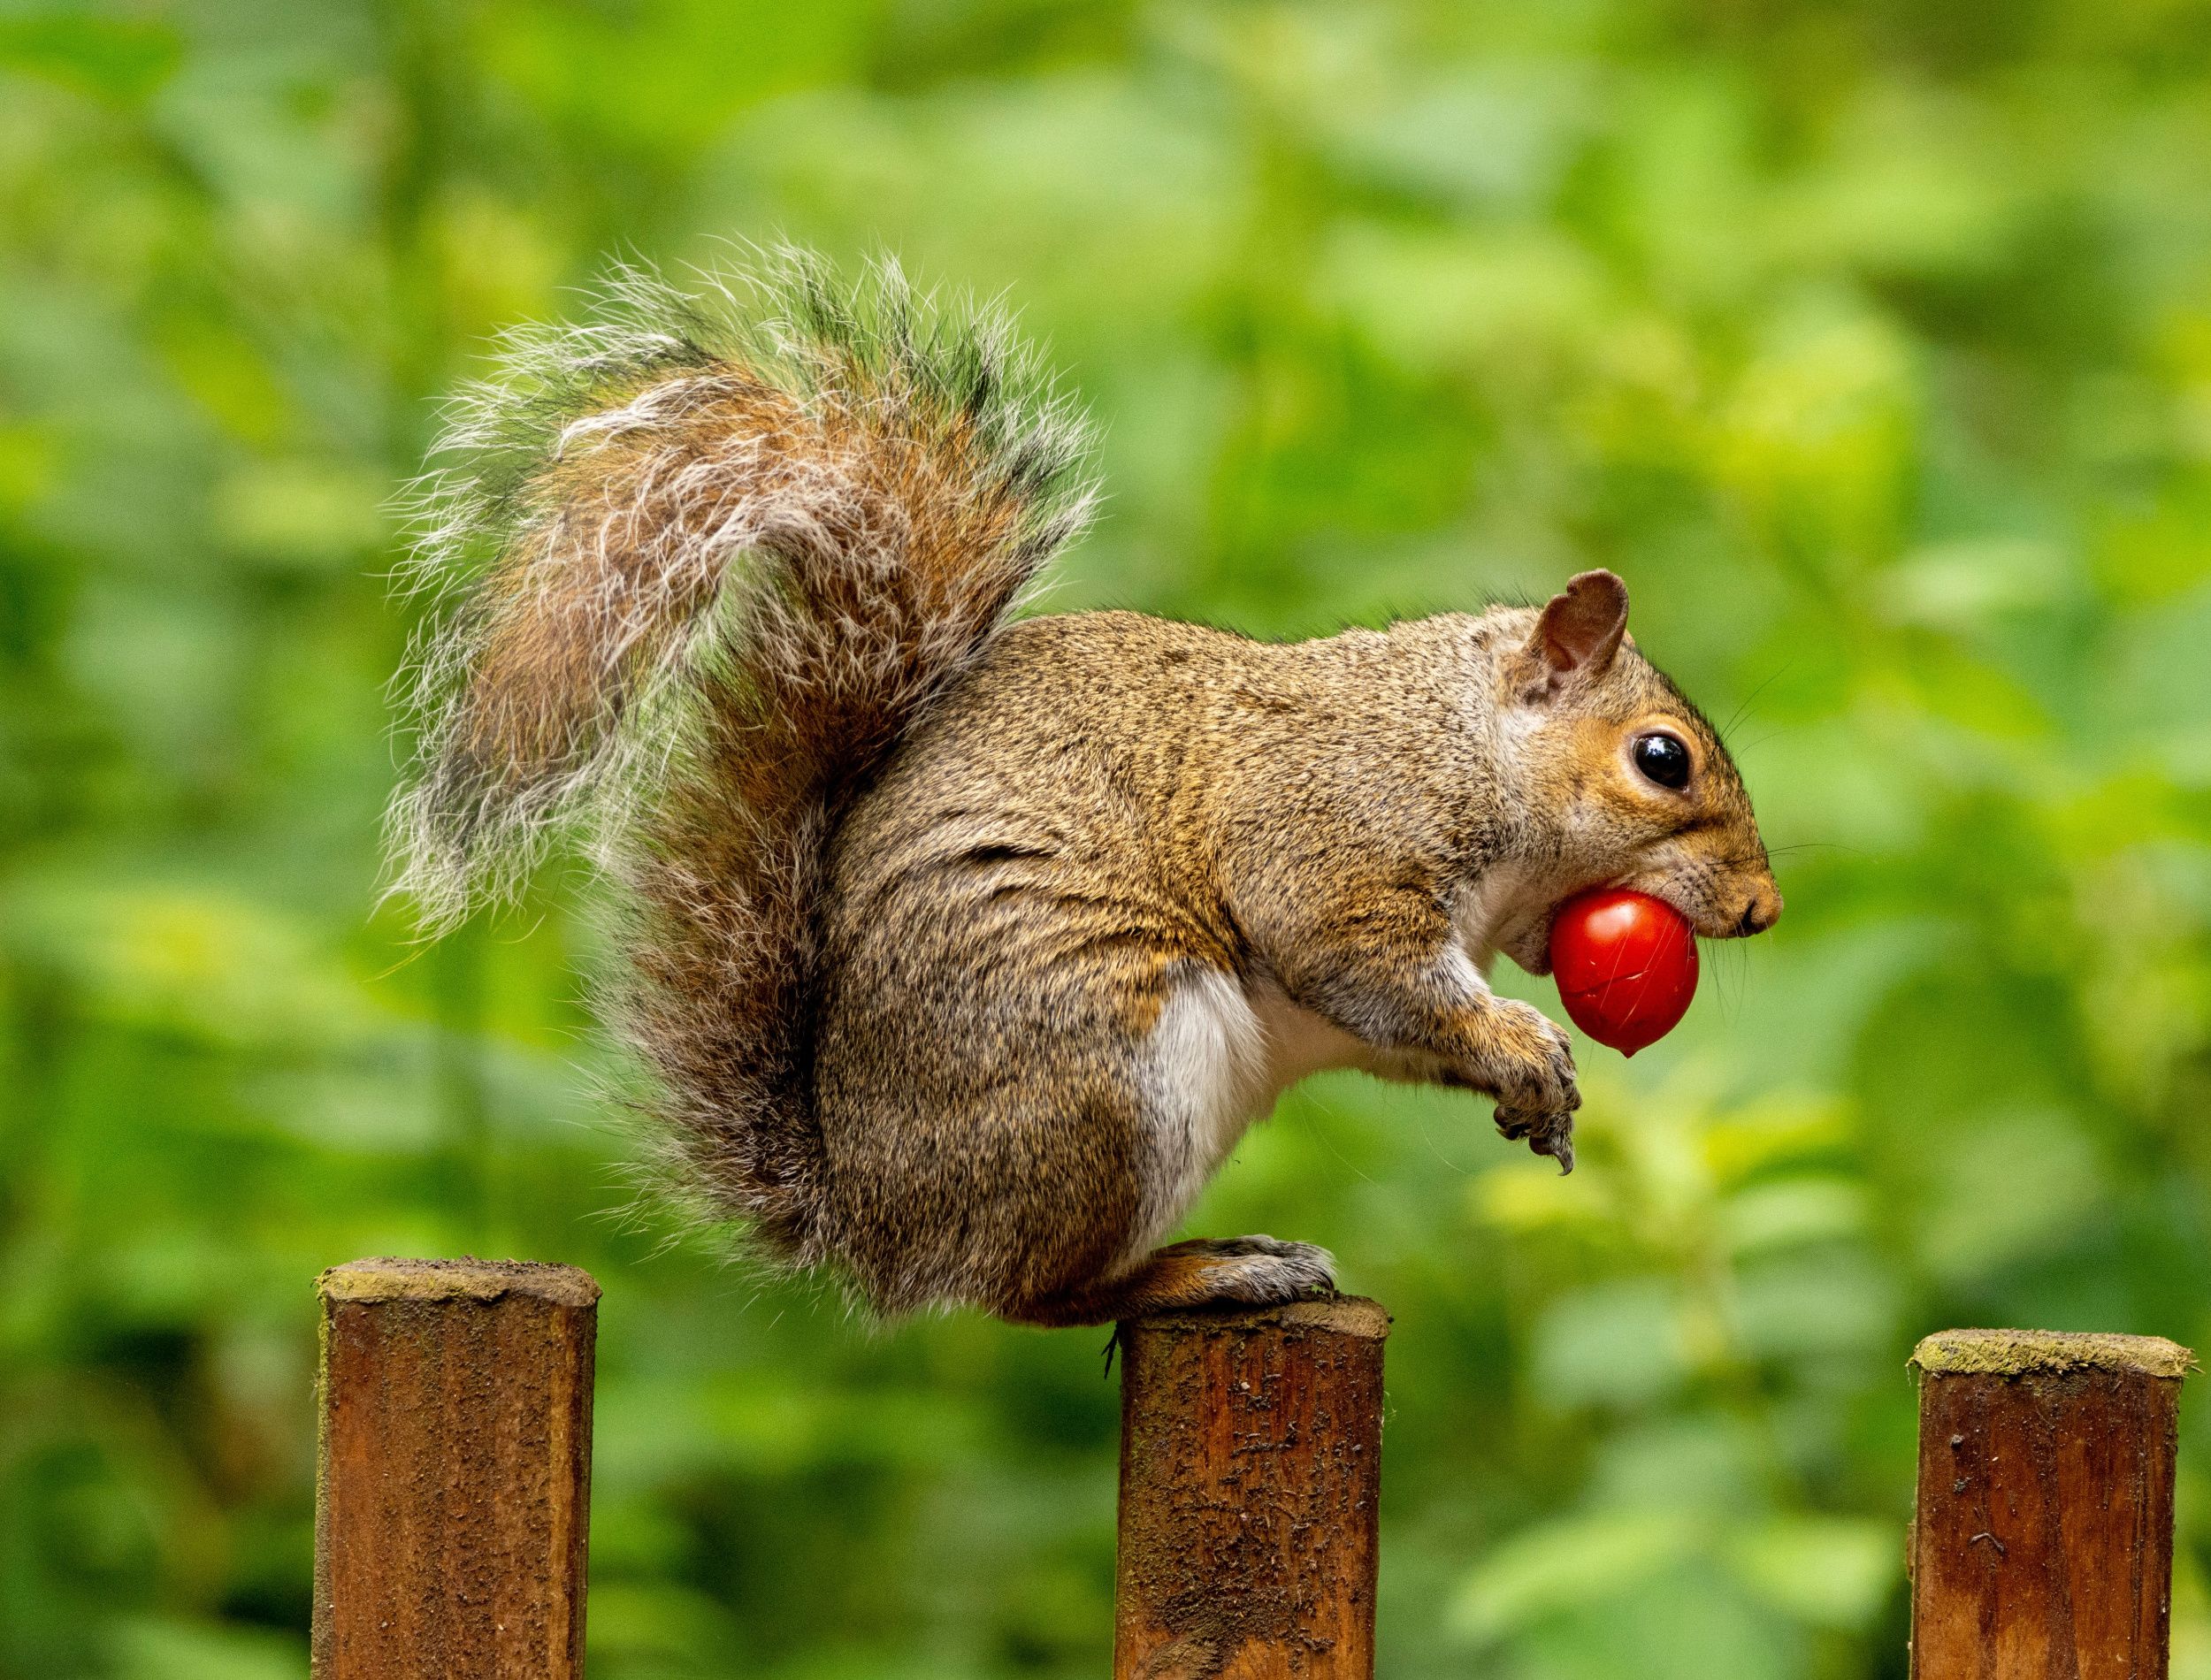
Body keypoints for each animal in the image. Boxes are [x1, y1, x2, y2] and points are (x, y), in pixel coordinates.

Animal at [394, 253, 1778, 1326]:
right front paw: (1518, 1043)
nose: (1763, 910)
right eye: (1662, 759)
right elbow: (1364, 964)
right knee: (1032, 1295)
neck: (1460, 742)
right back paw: (1210, 1272)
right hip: (1107, 1078)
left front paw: (1532, 1092)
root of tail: (871, 1220)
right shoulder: (1329, 833)